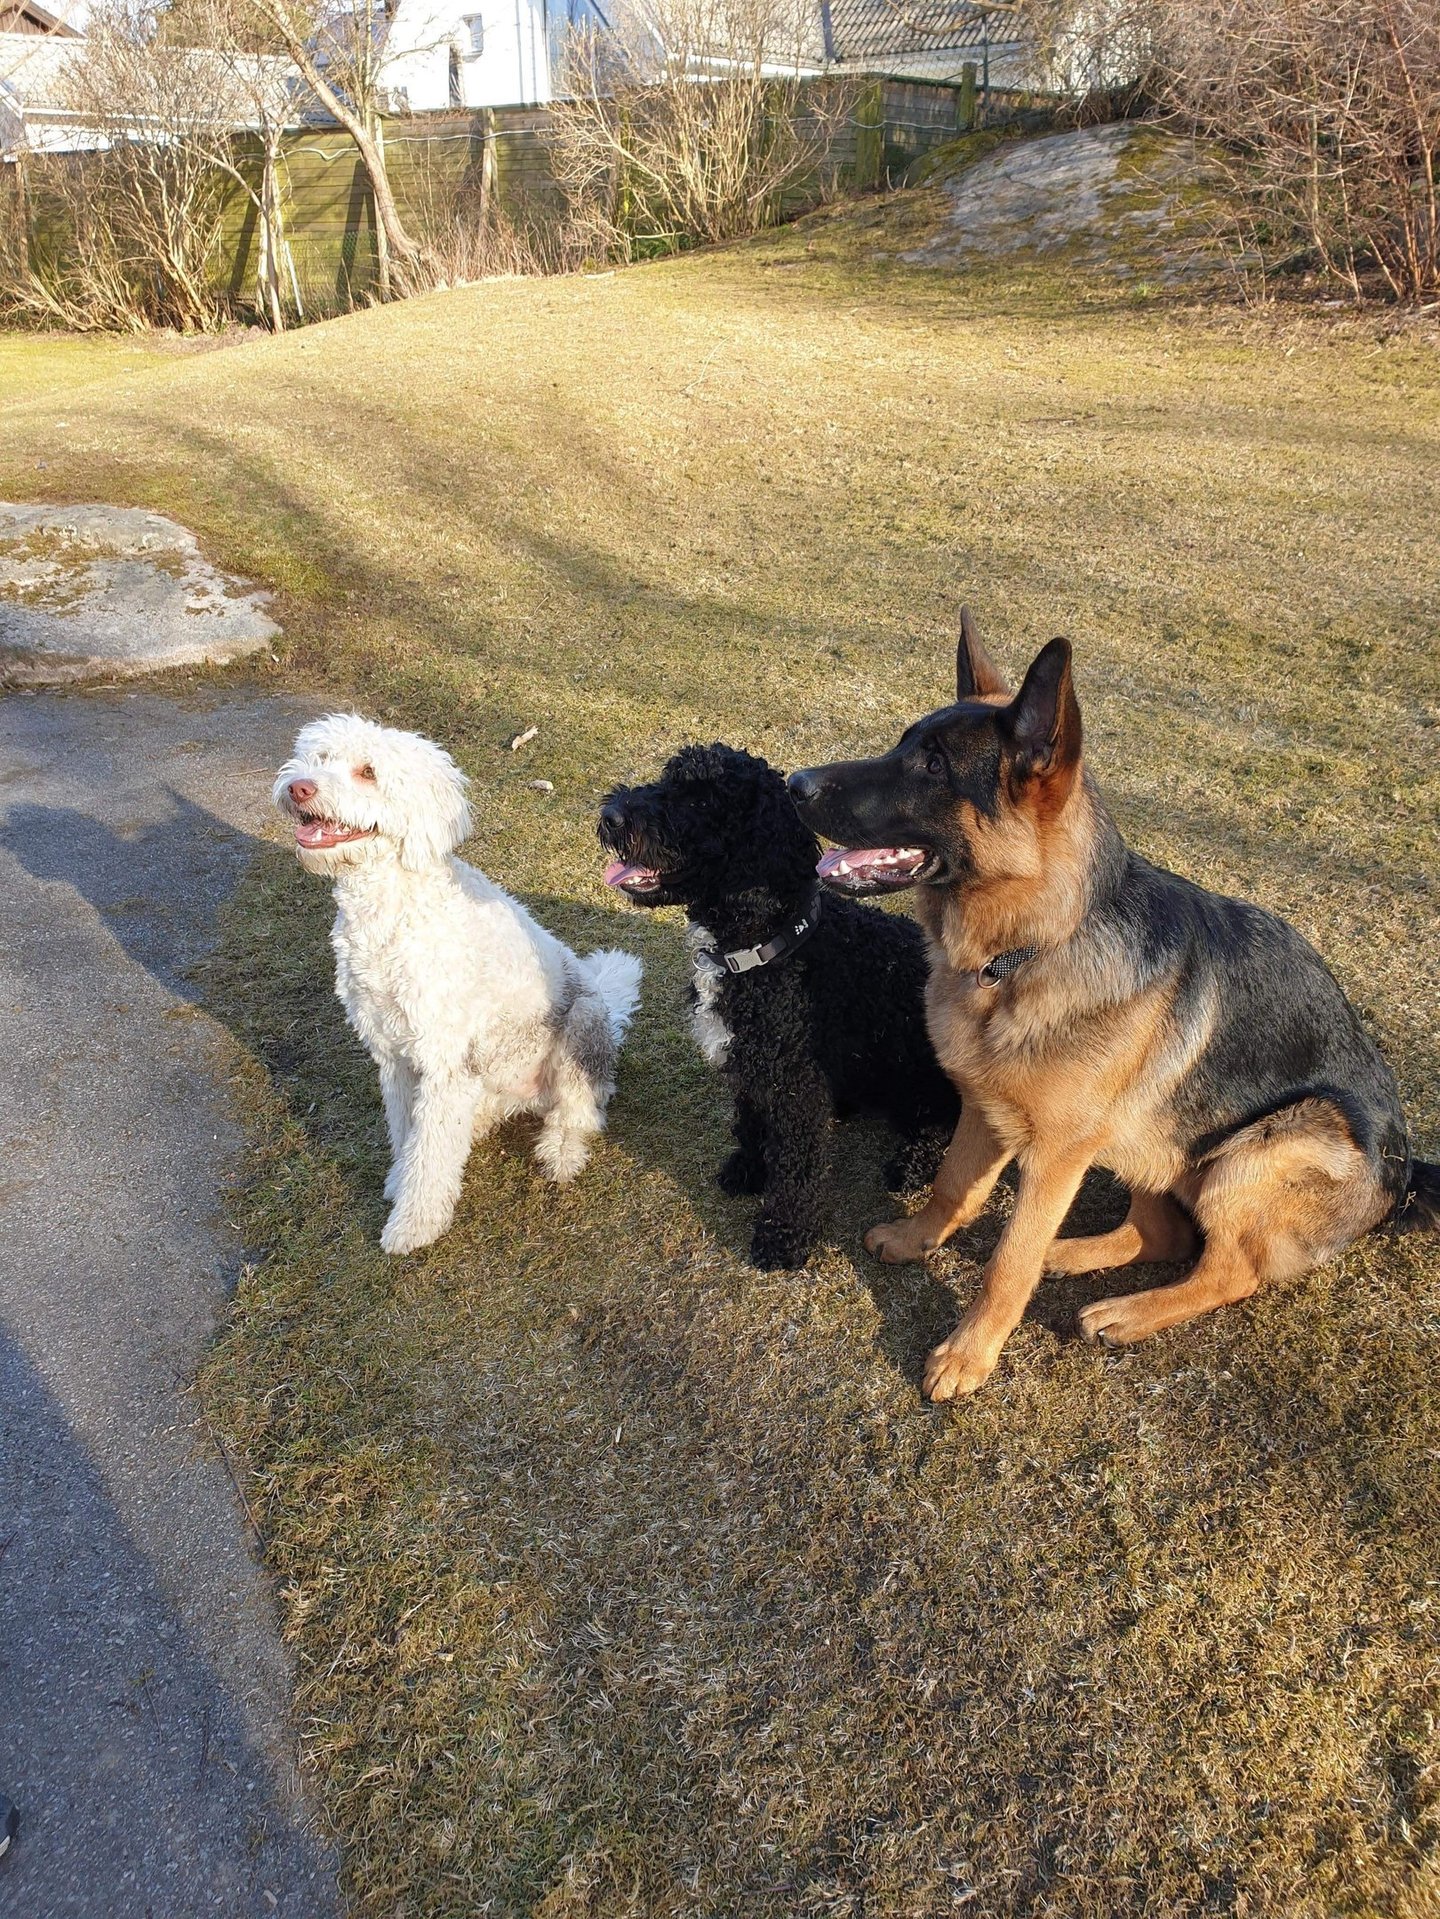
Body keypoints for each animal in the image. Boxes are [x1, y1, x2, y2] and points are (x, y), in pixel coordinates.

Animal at [274, 715, 642, 1254]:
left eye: (368, 772)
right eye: (316, 758)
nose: (299, 787)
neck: (392, 908)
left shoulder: (442, 1059)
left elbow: (429, 1156)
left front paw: (413, 1224)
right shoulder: (395, 1056)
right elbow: (409, 1133)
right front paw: (399, 1179)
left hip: (581, 1025)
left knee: (582, 1109)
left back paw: (560, 1151)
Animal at [597, 743, 959, 1271]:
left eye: (701, 801)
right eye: (667, 779)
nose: (611, 815)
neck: (765, 949)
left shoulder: (795, 1088)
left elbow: (796, 1170)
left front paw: (784, 1238)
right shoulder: (751, 1067)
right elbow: (751, 1123)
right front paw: (749, 1169)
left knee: (940, 1124)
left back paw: (911, 1164)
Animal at [789, 607, 1439, 1398]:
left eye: (934, 766)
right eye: (904, 744)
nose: (794, 782)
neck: (1034, 944)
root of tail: (1405, 1175)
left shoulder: (1057, 1155)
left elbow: (1007, 1264)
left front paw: (968, 1354)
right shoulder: (983, 1107)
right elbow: (951, 1187)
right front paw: (919, 1238)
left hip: (1255, 1155)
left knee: (1230, 1272)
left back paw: (1126, 1312)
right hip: (1154, 1141)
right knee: (1164, 1230)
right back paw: (1069, 1255)